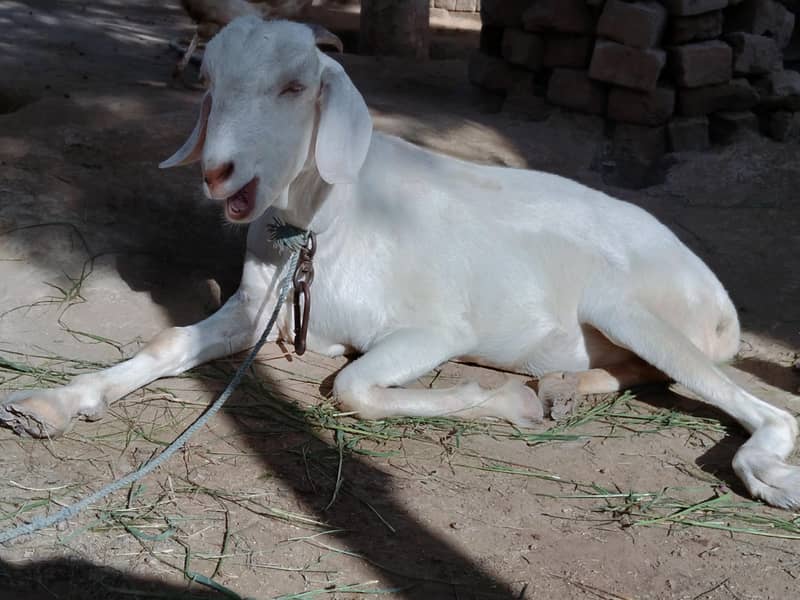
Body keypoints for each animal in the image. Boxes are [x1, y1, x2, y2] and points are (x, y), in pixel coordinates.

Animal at [2, 17, 798, 509]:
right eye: (209, 82)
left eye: (295, 86)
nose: (218, 172)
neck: (326, 226)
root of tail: (721, 302)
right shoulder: (257, 309)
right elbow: (169, 339)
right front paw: (49, 405)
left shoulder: (435, 330)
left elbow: (352, 386)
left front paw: (503, 403)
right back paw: (564, 386)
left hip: (628, 305)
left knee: (767, 410)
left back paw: (764, 474)